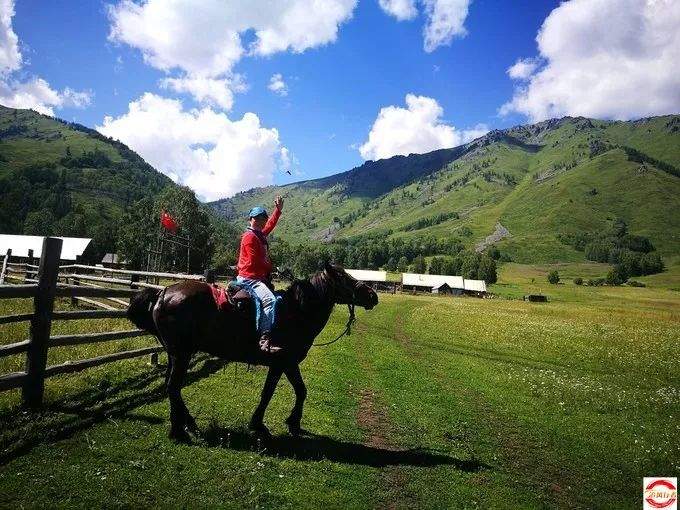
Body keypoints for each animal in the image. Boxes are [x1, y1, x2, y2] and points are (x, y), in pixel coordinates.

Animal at [126, 260, 378, 440]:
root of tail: (163, 293)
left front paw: (292, 423)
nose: (373, 295)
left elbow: (299, 391)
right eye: (343, 277)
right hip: (181, 353)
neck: (297, 311)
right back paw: (179, 430)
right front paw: (261, 424)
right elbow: (272, 393)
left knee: (172, 386)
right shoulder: (282, 362)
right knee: (173, 386)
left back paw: (186, 424)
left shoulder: (288, 364)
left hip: (174, 353)